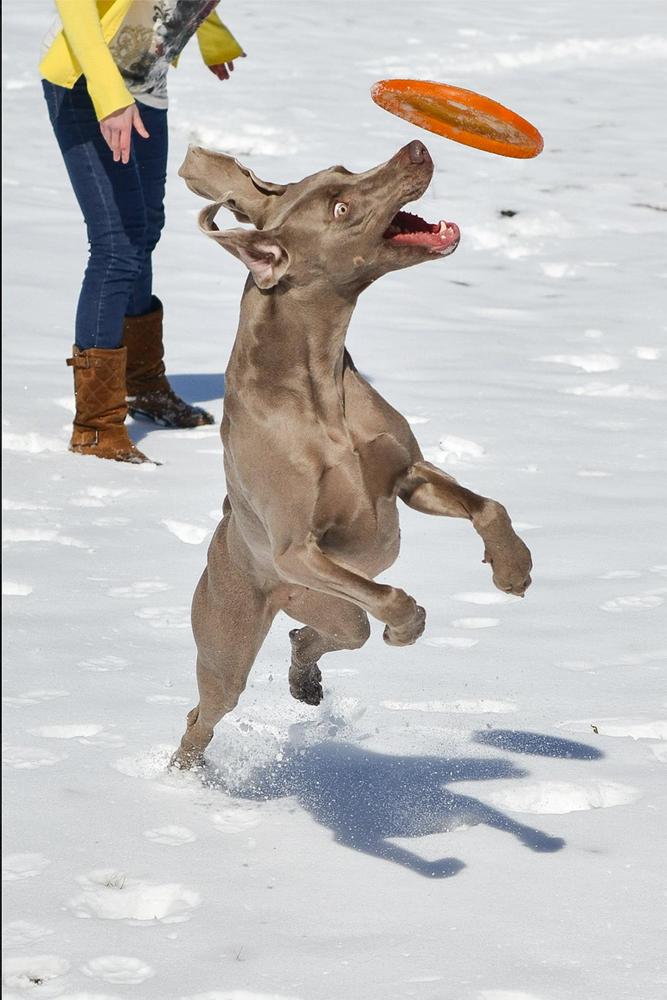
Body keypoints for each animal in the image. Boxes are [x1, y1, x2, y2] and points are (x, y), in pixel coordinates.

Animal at [172, 137, 532, 768]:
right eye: (340, 208)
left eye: (342, 170)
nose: (416, 147)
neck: (316, 386)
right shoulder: (296, 551)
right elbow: (390, 598)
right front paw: (408, 625)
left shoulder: (407, 477)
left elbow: (488, 507)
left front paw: (513, 568)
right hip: (243, 625)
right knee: (209, 709)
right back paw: (183, 772)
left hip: (318, 605)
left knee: (332, 633)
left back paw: (305, 678)